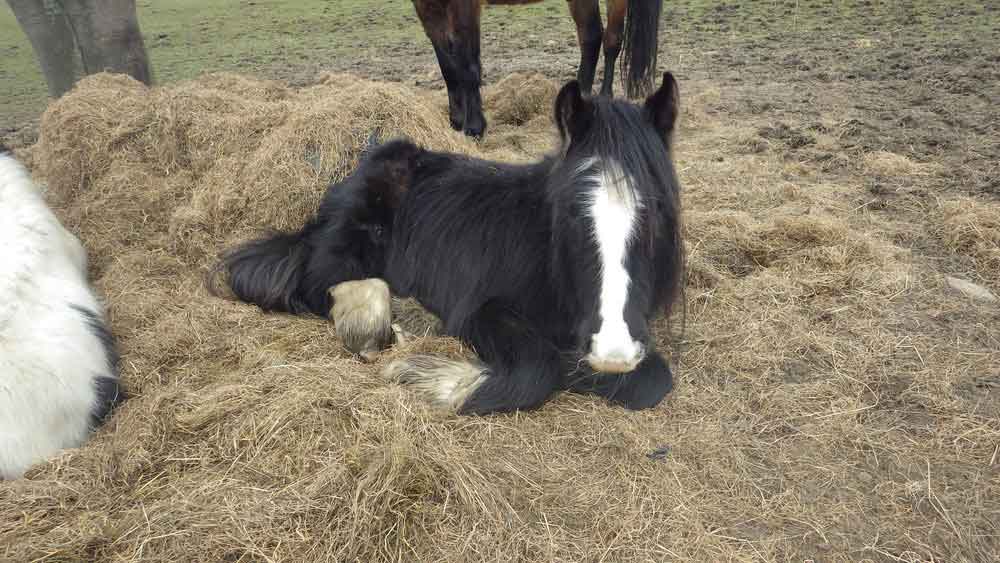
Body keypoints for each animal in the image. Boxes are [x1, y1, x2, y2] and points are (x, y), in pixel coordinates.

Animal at [214, 72, 684, 416]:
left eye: (659, 208)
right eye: (569, 213)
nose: (613, 351)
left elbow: (653, 379)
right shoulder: (481, 310)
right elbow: (538, 368)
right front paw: (425, 377)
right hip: (346, 251)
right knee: (322, 285)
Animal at [410, 0, 660, 138]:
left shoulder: (465, 8)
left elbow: (468, 67)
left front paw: (474, 128)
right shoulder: (426, 7)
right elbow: (448, 66)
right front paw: (456, 121)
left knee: (610, 41)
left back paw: (604, 97)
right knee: (591, 37)